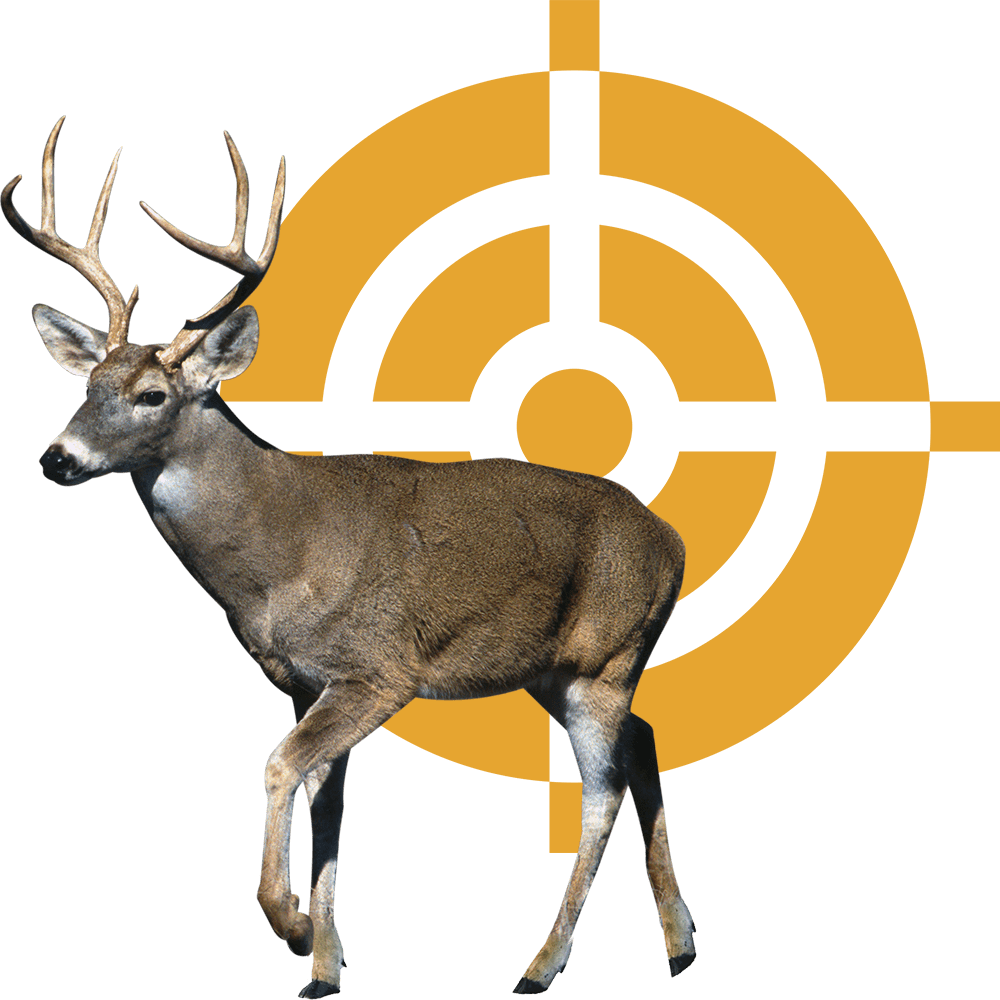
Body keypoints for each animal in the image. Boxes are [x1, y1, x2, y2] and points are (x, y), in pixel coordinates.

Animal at [3, 118, 697, 996]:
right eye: (88, 383)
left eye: (152, 395)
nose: (56, 457)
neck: (278, 560)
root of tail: (673, 537)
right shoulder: (302, 680)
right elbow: (324, 804)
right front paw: (325, 965)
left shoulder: (379, 669)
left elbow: (279, 769)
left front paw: (292, 926)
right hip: (557, 667)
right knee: (645, 739)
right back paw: (678, 941)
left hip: (606, 656)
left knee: (601, 788)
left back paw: (543, 963)